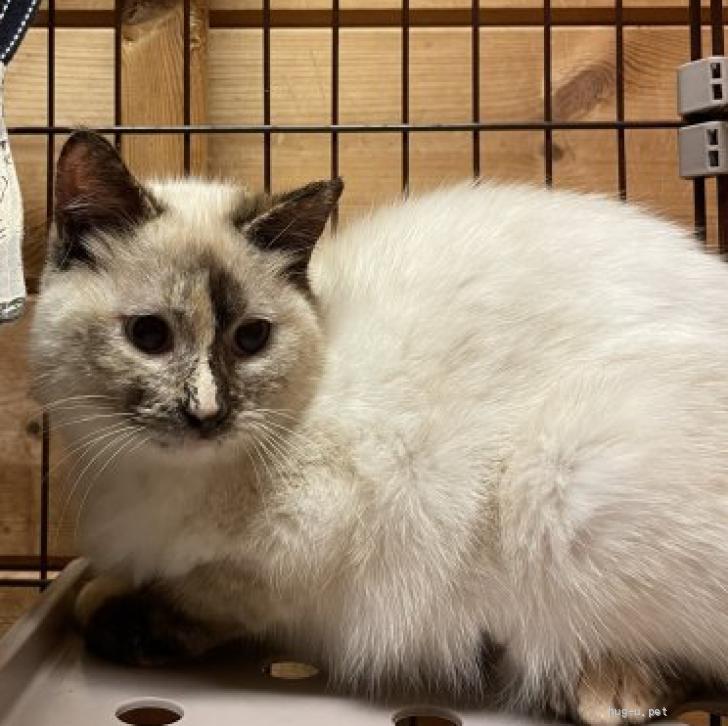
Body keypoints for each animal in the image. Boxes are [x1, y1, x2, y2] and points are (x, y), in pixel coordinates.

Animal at [29, 130, 728, 725]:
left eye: (251, 339)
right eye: (149, 336)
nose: (206, 412)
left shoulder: (306, 543)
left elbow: (202, 593)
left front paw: (117, 615)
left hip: (562, 482)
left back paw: (608, 693)